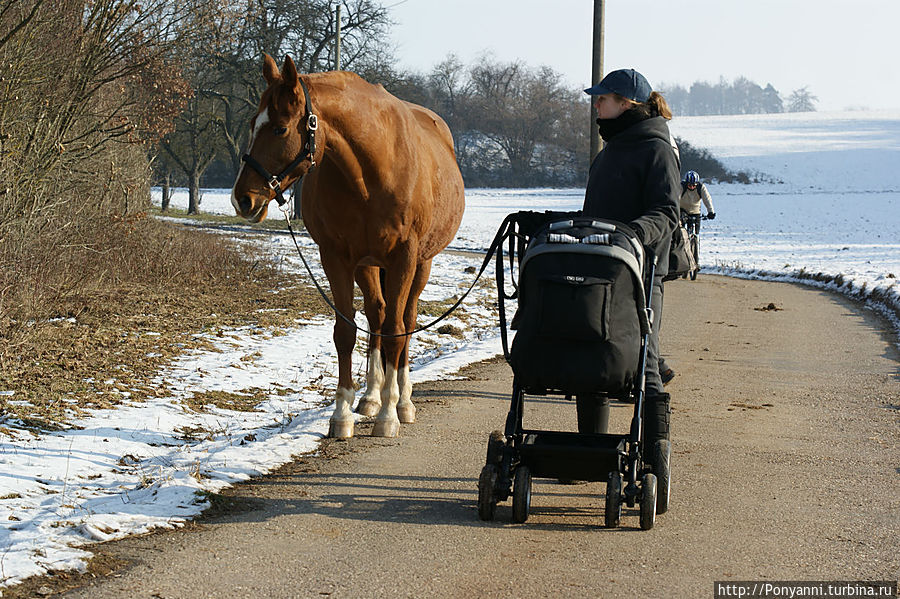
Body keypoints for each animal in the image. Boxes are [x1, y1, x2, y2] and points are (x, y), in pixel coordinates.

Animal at [229, 55, 468, 440]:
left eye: (280, 129)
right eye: (253, 123)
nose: (242, 199)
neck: (373, 170)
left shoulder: (404, 258)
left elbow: (396, 333)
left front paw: (389, 415)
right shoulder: (337, 258)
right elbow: (345, 333)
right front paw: (342, 414)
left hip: (422, 264)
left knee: (404, 320)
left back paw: (402, 401)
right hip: (367, 265)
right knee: (377, 314)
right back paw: (371, 396)